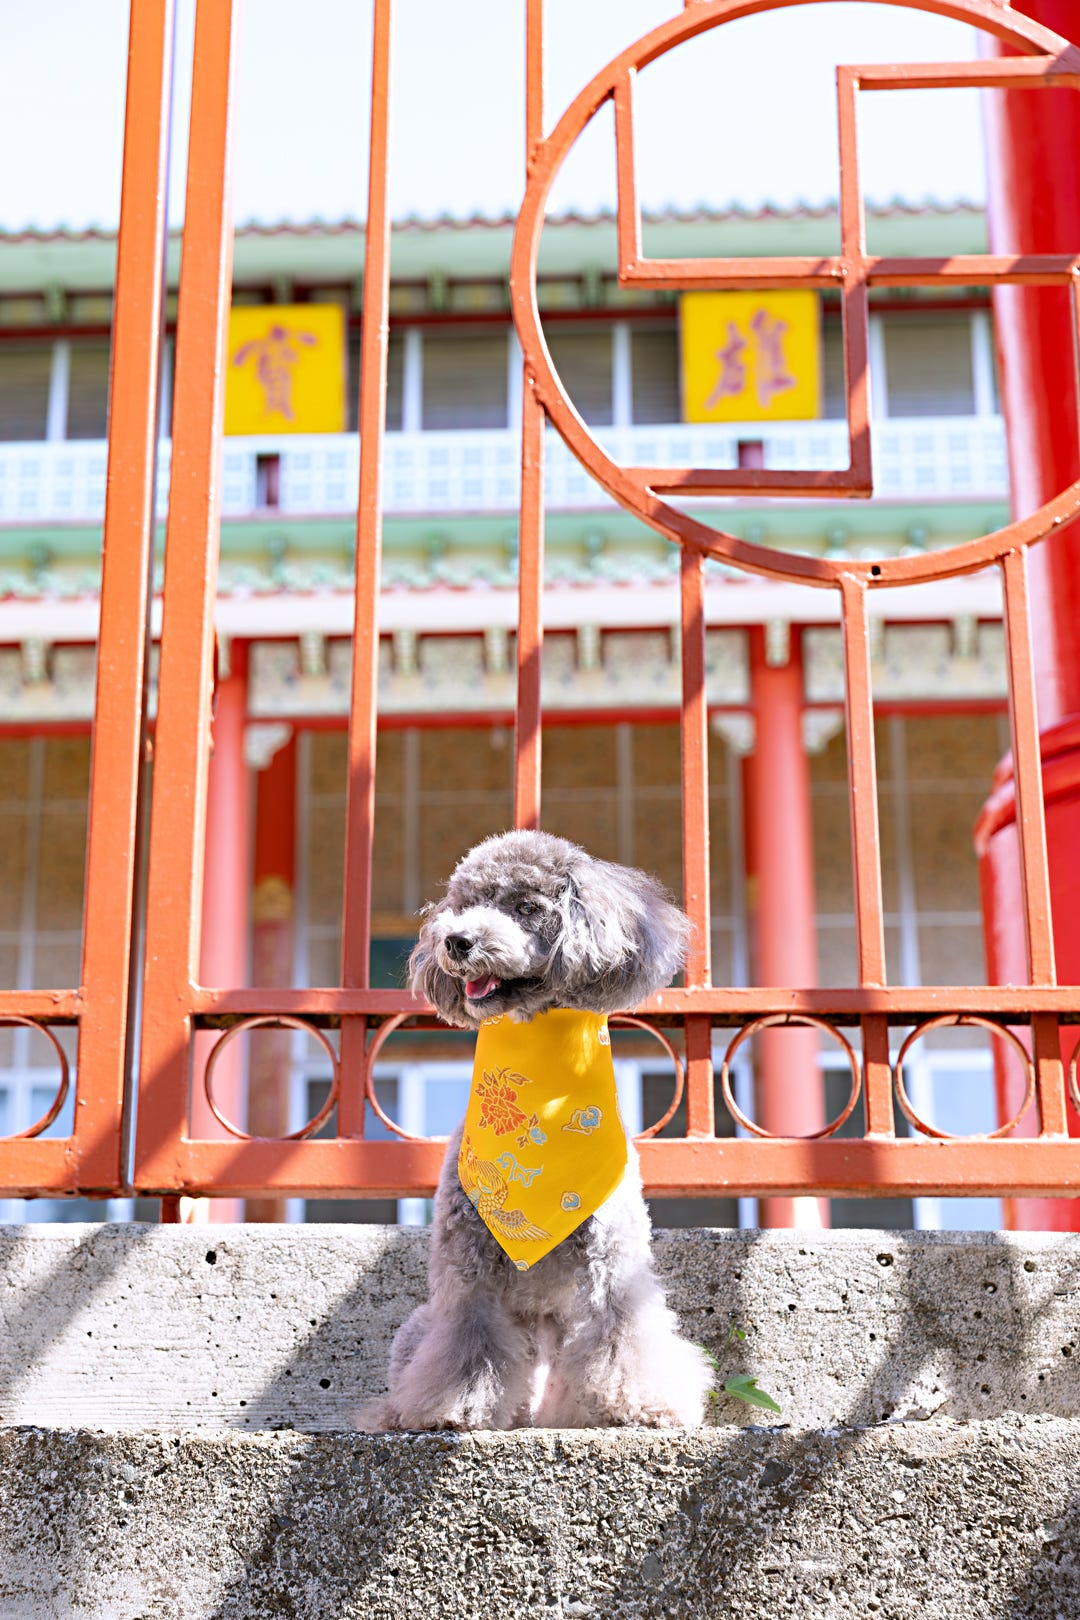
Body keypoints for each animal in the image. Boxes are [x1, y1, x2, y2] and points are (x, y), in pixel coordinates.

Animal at [361, 835, 718, 1432]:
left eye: (527, 907)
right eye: (464, 904)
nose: (456, 940)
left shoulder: (613, 1257)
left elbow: (621, 1330)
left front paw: (639, 1404)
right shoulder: (468, 1267)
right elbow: (469, 1339)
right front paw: (456, 1407)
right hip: (418, 1328)